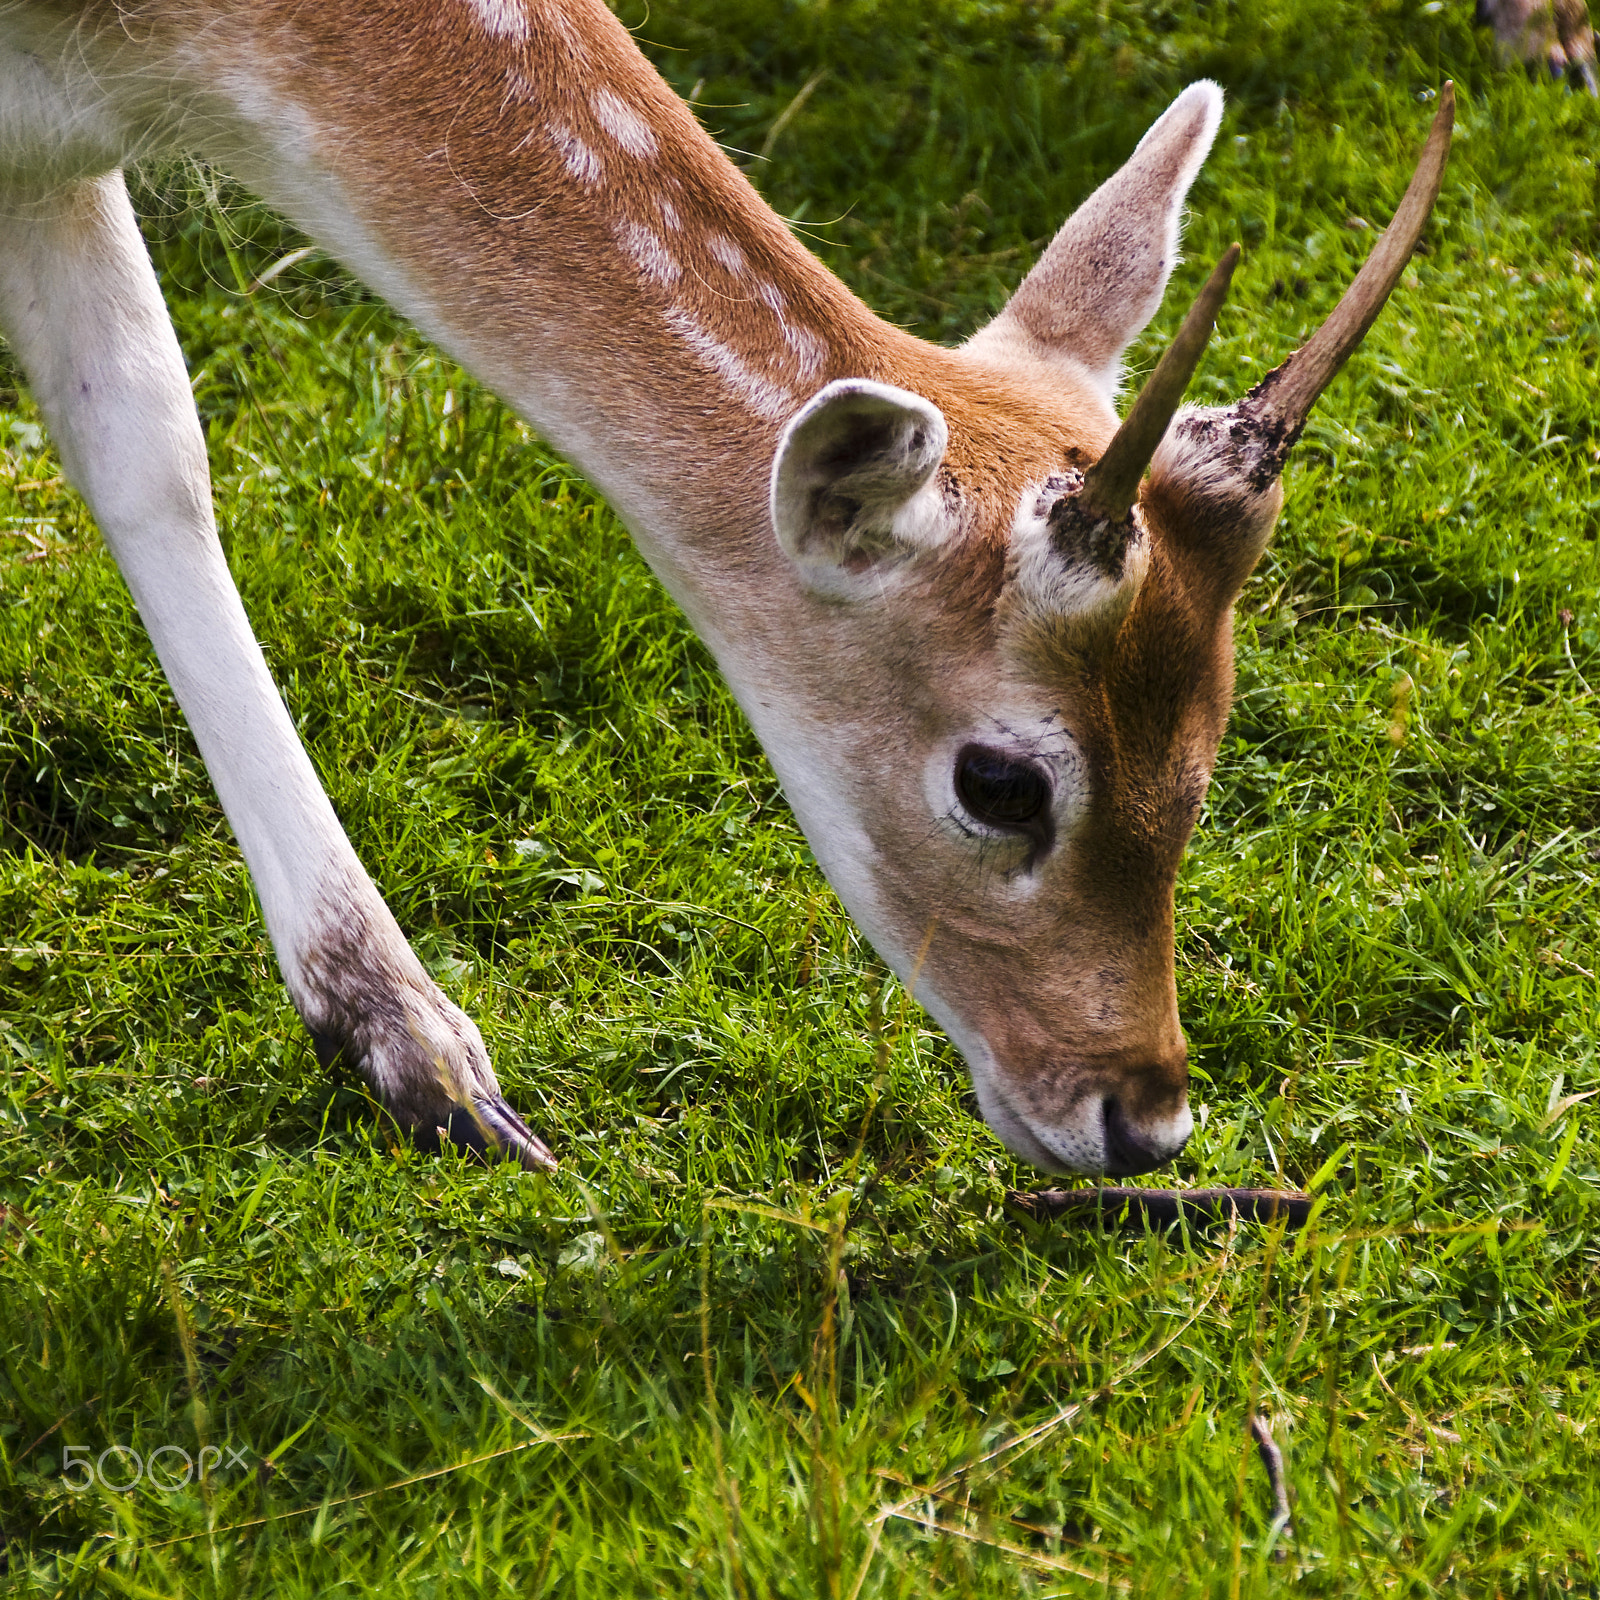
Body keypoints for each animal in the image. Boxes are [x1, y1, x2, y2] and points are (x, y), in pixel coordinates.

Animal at [0, 1, 1452, 1179]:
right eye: (1000, 784)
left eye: (1210, 745)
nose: (1143, 1121)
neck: (137, 43)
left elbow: (147, 440)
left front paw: (417, 1053)